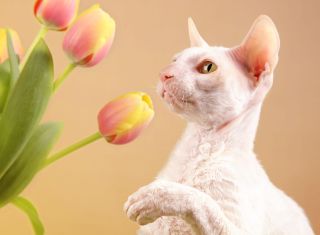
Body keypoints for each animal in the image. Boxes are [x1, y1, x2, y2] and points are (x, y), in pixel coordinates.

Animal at [124, 15, 314, 234]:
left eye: (208, 67)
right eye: (174, 60)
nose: (164, 73)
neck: (195, 150)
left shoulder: (237, 227)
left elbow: (202, 202)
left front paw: (153, 197)